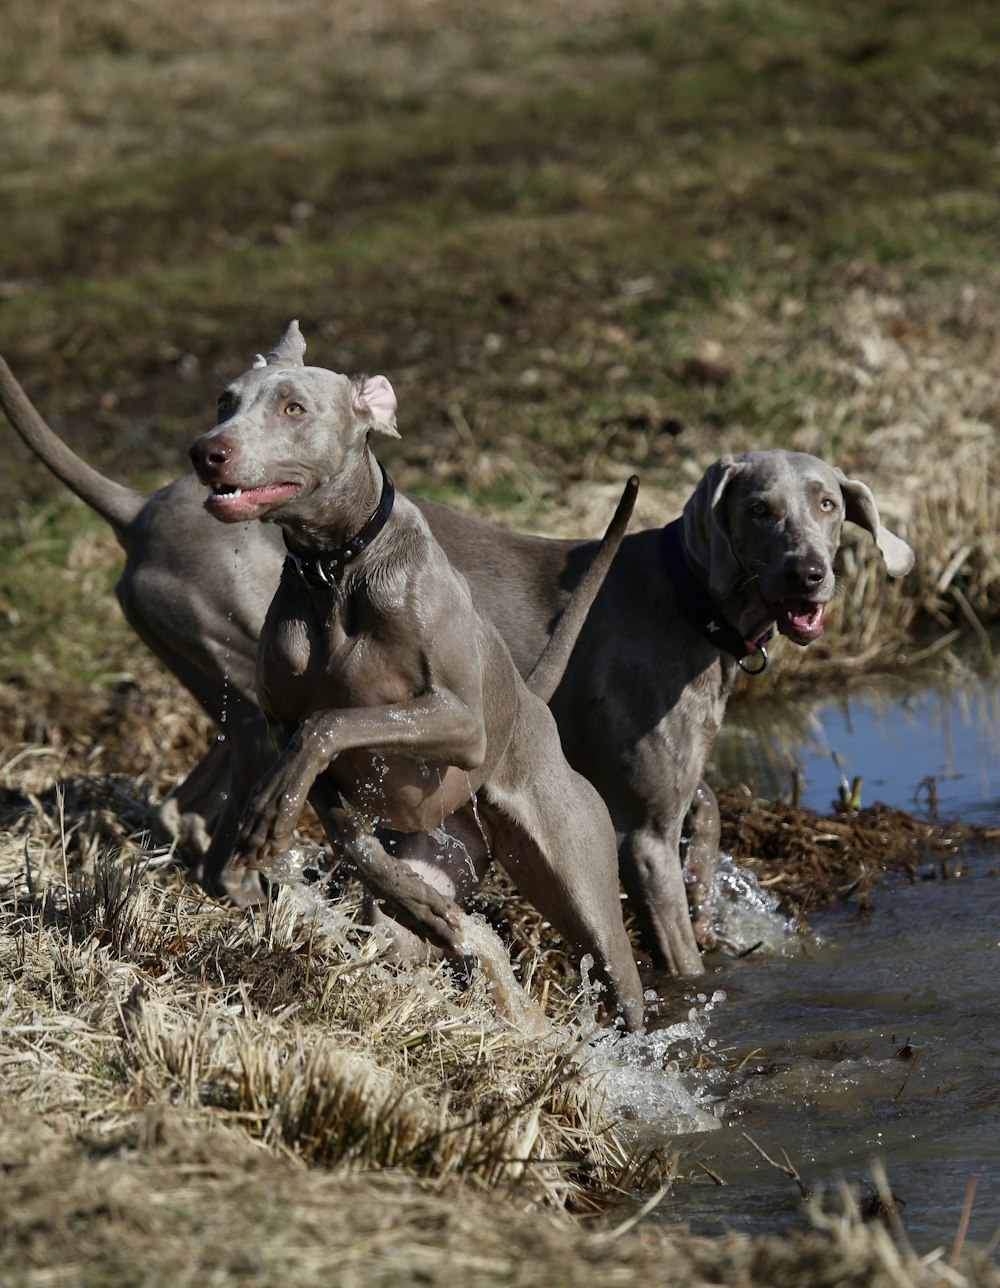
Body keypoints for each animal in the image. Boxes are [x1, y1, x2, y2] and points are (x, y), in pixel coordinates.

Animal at [0, 345, 912, 973]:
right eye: (760, 509)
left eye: (827, 505)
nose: (810, 571)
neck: (690, 598)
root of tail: (138, 509)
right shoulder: (642, 830)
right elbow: (676, 940)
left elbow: (710, 808)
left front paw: (717, 902)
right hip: (244, 676)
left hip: (233, 696)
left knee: (187, 808)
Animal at [184, 327, 644, 1030]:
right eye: (223, 401)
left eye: (293, 408)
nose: (207, 452)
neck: (335, 572)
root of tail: (532, 704)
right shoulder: (286, 725)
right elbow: (342, 820)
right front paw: (412, 904)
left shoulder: (460, 722)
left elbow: (332, 721)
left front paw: (265, 810)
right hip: (444, 849)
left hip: (581, 883)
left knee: (619, 974)